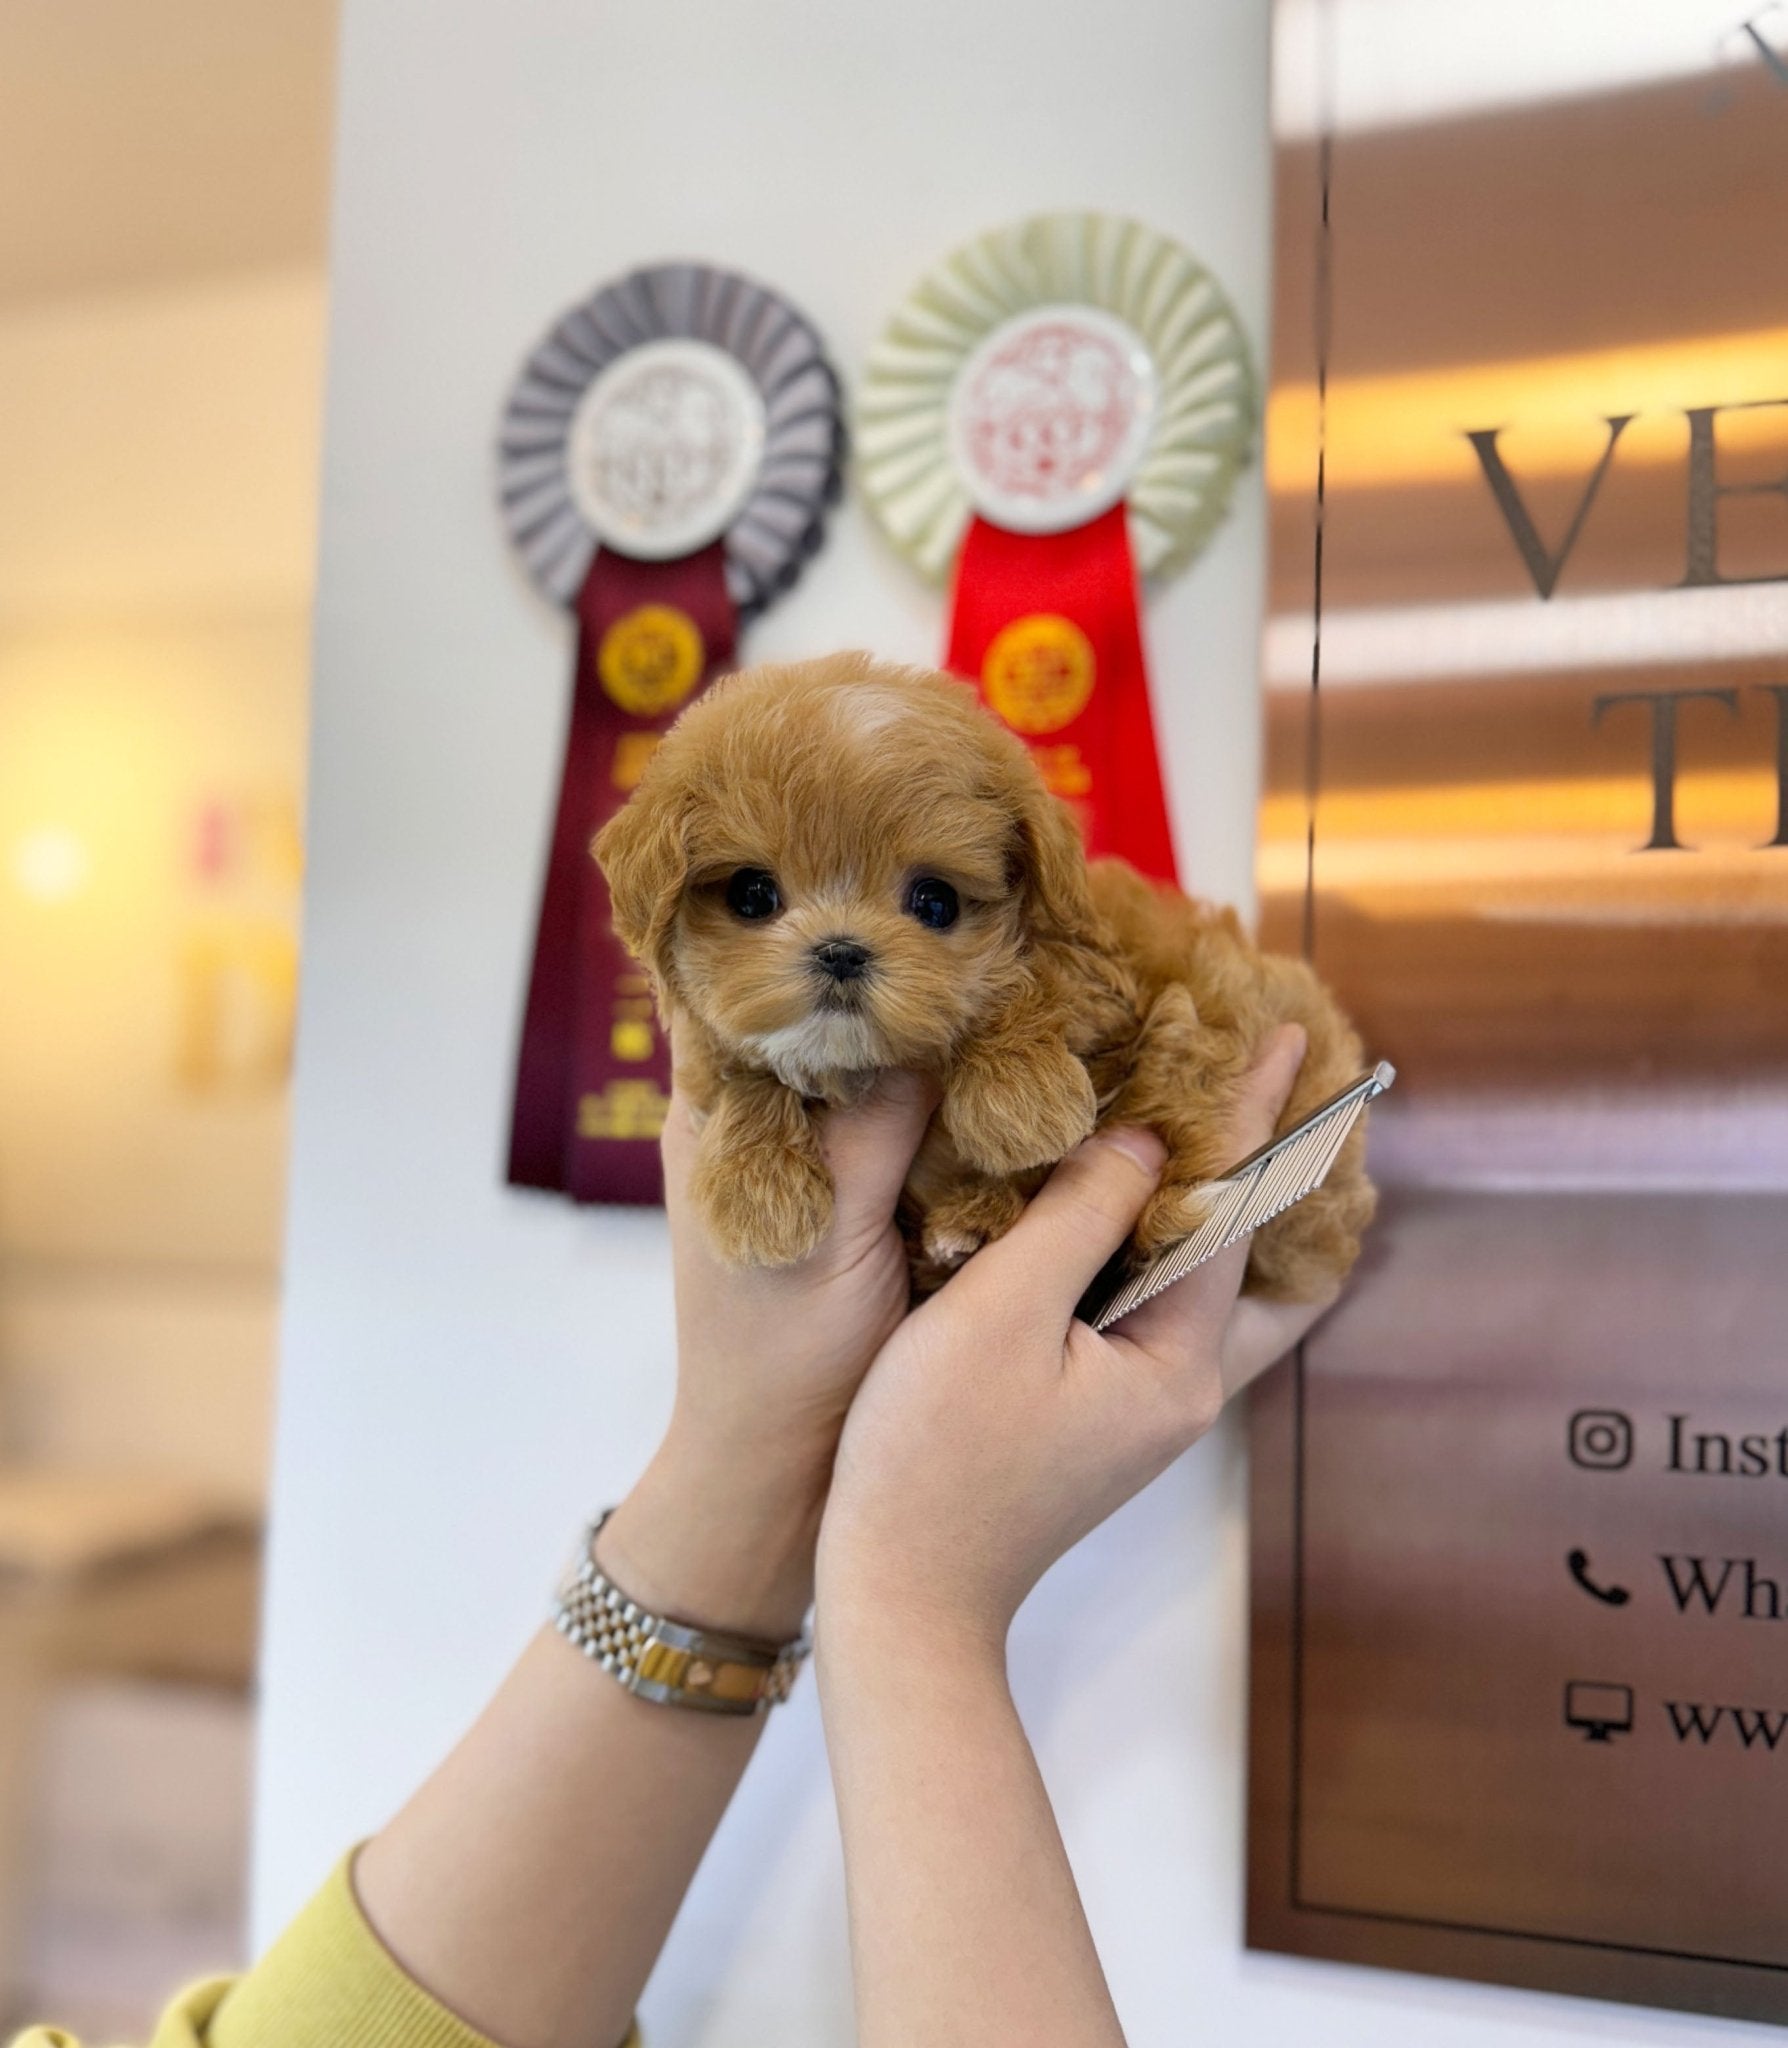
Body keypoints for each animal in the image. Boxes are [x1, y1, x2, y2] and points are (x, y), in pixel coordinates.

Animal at [593, 647, 1376, 1302]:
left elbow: (1027, 990)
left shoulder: (1105, 979)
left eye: (934, 903)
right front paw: (757, 1189)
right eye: (754, 895)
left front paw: (1019, 1096)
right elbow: (743, 1073)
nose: (841, 949)